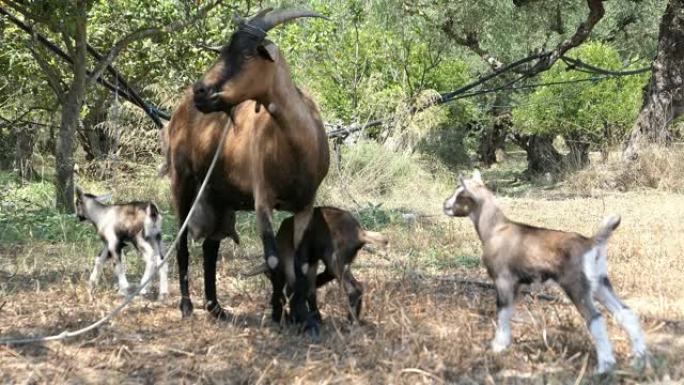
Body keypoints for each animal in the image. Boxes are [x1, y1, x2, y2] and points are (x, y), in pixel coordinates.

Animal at [164, 8, 328, 332]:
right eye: (223, 50)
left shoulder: (305, 204)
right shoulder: (263, 199)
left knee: (211, 247)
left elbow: (300, 261)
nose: (200, 91)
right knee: (182, 242)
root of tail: (178, 112)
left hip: (219, 197)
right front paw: (284, 314)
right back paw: (187, 306)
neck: (297, 145)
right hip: (183, 181)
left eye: (246, 54)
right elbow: (274, 261)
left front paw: (305, 316)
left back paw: (216, 308)